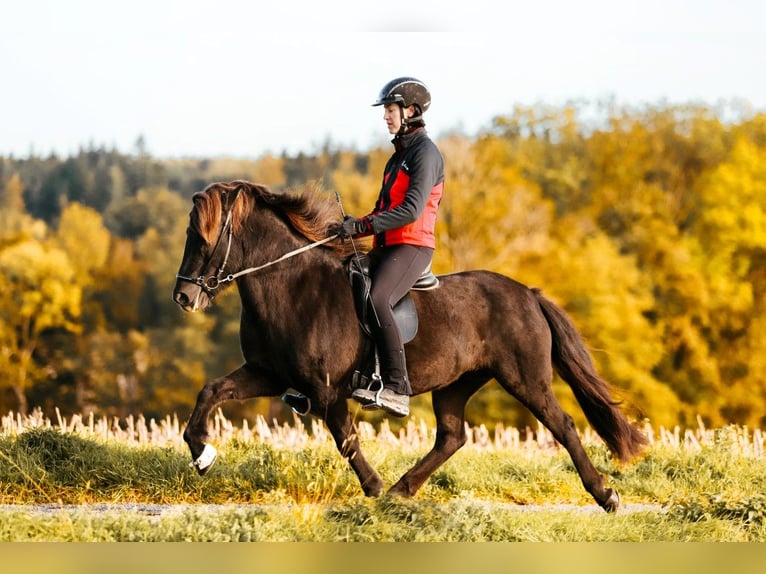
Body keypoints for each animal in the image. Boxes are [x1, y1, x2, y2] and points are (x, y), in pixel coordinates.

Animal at [172, 180, 648, 512]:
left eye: (204, 236)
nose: (184, 297)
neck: (292, 287)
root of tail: (528, 294)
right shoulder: (269, 374)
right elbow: (211, 391)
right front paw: (203, 455)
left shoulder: (326, 390)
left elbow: (345, 438)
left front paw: (373, 487)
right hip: (457, 383)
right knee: (452, 437)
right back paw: (403, 490)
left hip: (525, 379)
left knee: (562, 425)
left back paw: (605, 495)